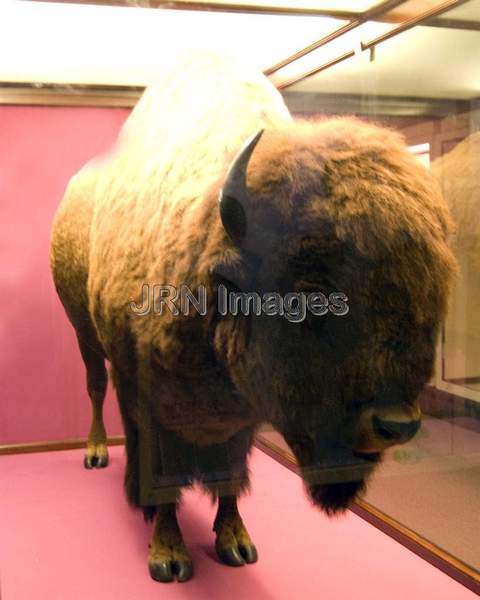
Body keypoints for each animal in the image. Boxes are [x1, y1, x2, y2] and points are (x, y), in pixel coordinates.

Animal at [49, 51, 458, 580]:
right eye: (307, 296)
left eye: (430, 294)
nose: (396, 425)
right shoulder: (146, 398)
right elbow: (160, 477)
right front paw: (168, 553)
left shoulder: (242, 413)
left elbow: (230, 474)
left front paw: (235, 541)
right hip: (83, 331)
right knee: (95, 386)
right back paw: (96, 452)